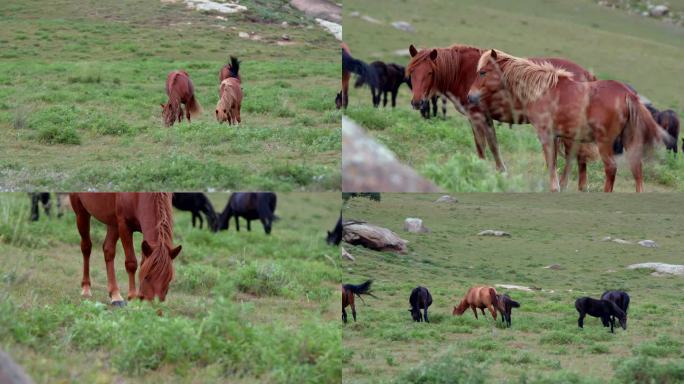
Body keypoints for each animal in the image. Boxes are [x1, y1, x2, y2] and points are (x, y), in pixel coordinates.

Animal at [408, 43, 596, 180]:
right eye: (412, 72)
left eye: (430, 72)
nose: (417, 102)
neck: (463, 71)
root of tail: (587, 75)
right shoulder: (486, 118)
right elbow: (493, 145)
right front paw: (501, 171)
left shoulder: (475, 116)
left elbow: (481, 146)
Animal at [470, 50, 668, 194]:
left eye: (483, 72)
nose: (470, 96)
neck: (542, 91)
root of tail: (627, 94)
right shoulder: (560, 137)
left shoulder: (546, 135)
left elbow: (552, 163)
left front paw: (554, 188)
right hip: (629, 140)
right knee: (637, 171)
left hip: (605, 143)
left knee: (611, 169)